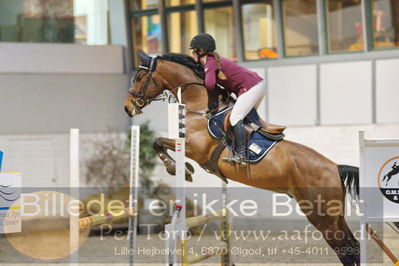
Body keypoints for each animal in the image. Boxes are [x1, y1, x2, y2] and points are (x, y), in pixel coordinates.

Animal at [123, 51, 360, 264]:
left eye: (139, 77)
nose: (127, 107)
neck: (201, 106)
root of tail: (335, 167)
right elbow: (158, 141)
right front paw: (180, 169)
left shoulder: (194, 148)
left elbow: (159, 141)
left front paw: (179, 169)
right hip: (335, 215)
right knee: (354, 246)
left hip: (321, 216)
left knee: (345, 251)